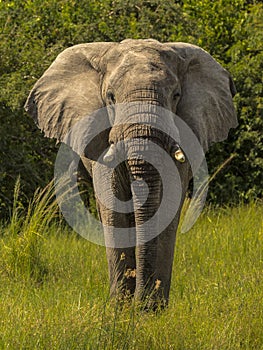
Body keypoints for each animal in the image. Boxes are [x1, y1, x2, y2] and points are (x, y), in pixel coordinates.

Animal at [25, 39, 239, 308]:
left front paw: (152, 309)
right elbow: (113, 206)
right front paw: (120, 307)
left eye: (176, 96)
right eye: (110, 97)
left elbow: (168, 205)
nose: (141, 303)